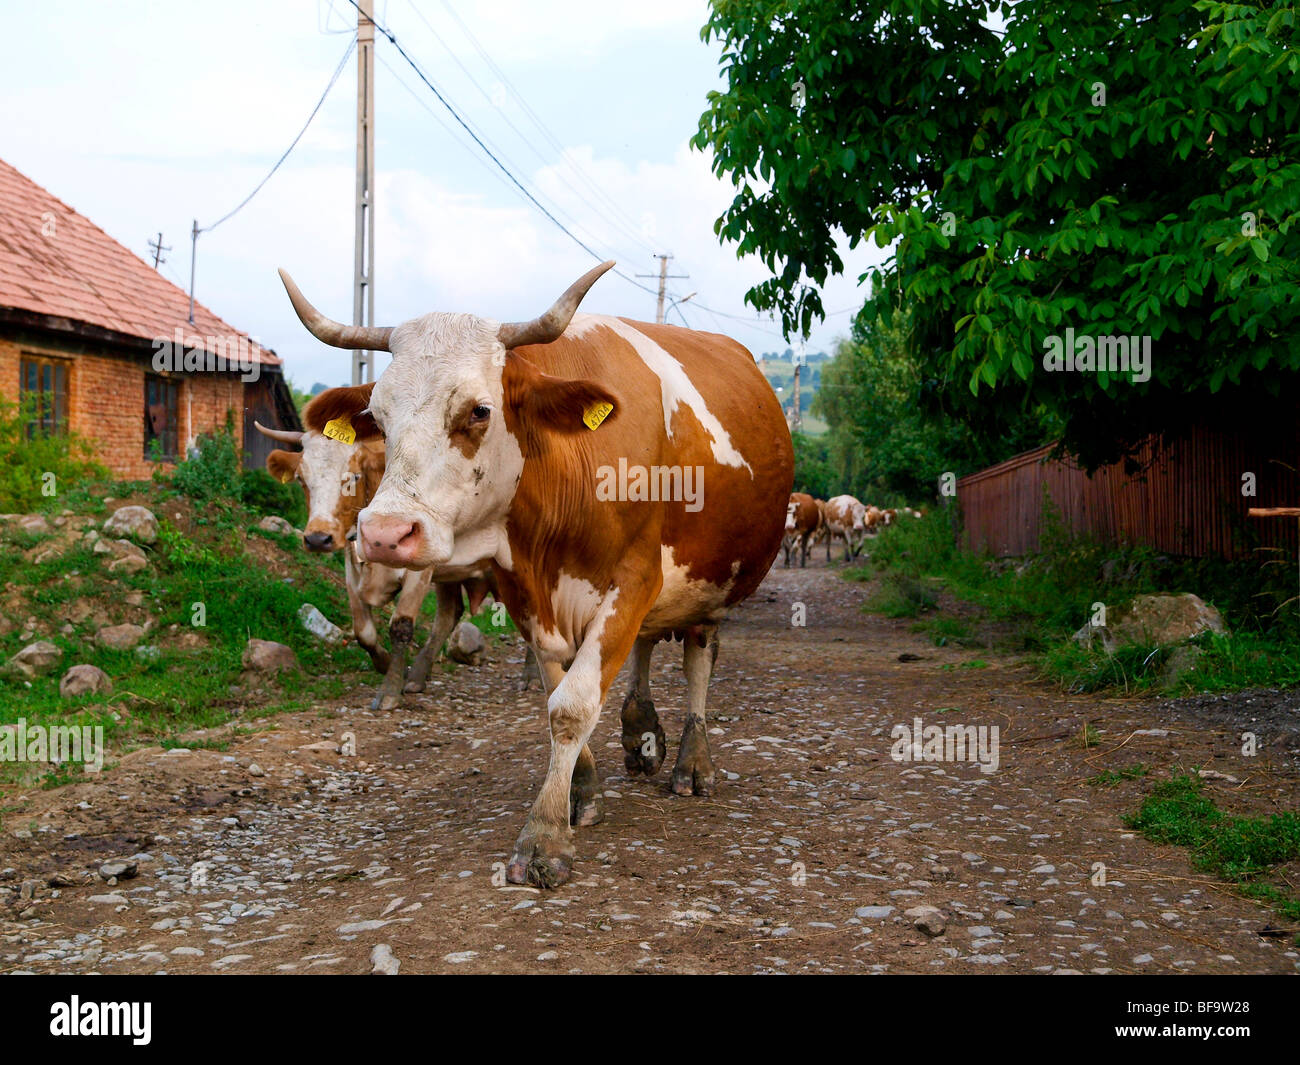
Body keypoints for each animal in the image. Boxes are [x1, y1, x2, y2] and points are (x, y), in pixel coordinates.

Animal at [253, 413, 491, 707]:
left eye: (353, 477)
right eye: (301, 478)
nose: (318, 539)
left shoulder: (420, 571)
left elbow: (401, 625)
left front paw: (390, 689)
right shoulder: (351, 566)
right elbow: (363, 632)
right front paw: (386, 664)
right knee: (449, 614)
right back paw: (418, 675)